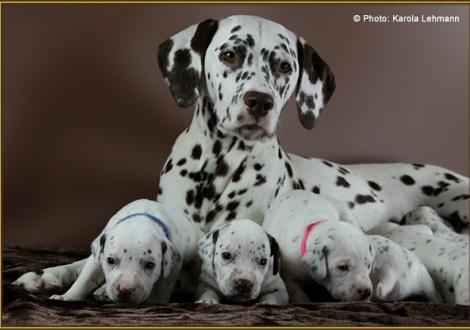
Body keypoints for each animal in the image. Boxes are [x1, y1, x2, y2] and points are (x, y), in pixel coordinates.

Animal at [13, 199, 201, 304]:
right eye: (110, 261)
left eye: (150, 265)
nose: (125, 290)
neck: (143, 217)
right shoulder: (97, 258)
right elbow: (84, 279)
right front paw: (67, 297)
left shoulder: (173, 265)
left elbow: (163, 287)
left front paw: (156, 303)